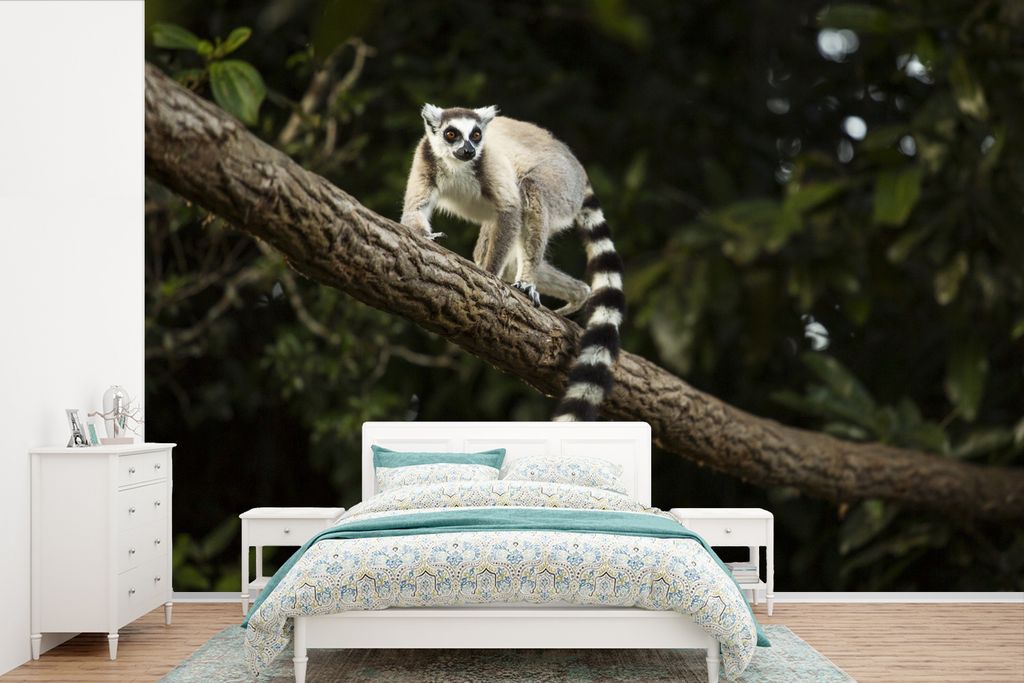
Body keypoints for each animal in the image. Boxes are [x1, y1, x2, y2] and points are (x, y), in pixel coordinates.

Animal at [400, 104, 625, 422]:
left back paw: (529, 281)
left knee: (530, 190)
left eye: (476, 135)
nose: (469, 150)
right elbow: (414, 210)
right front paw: (426, 237)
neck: (457, 166)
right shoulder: (426, 159)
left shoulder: (490, 163)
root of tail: (579, 170)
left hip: (561, 185)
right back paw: (578, 293)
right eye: (451, 134)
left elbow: (511, 208)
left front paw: (487, 277)